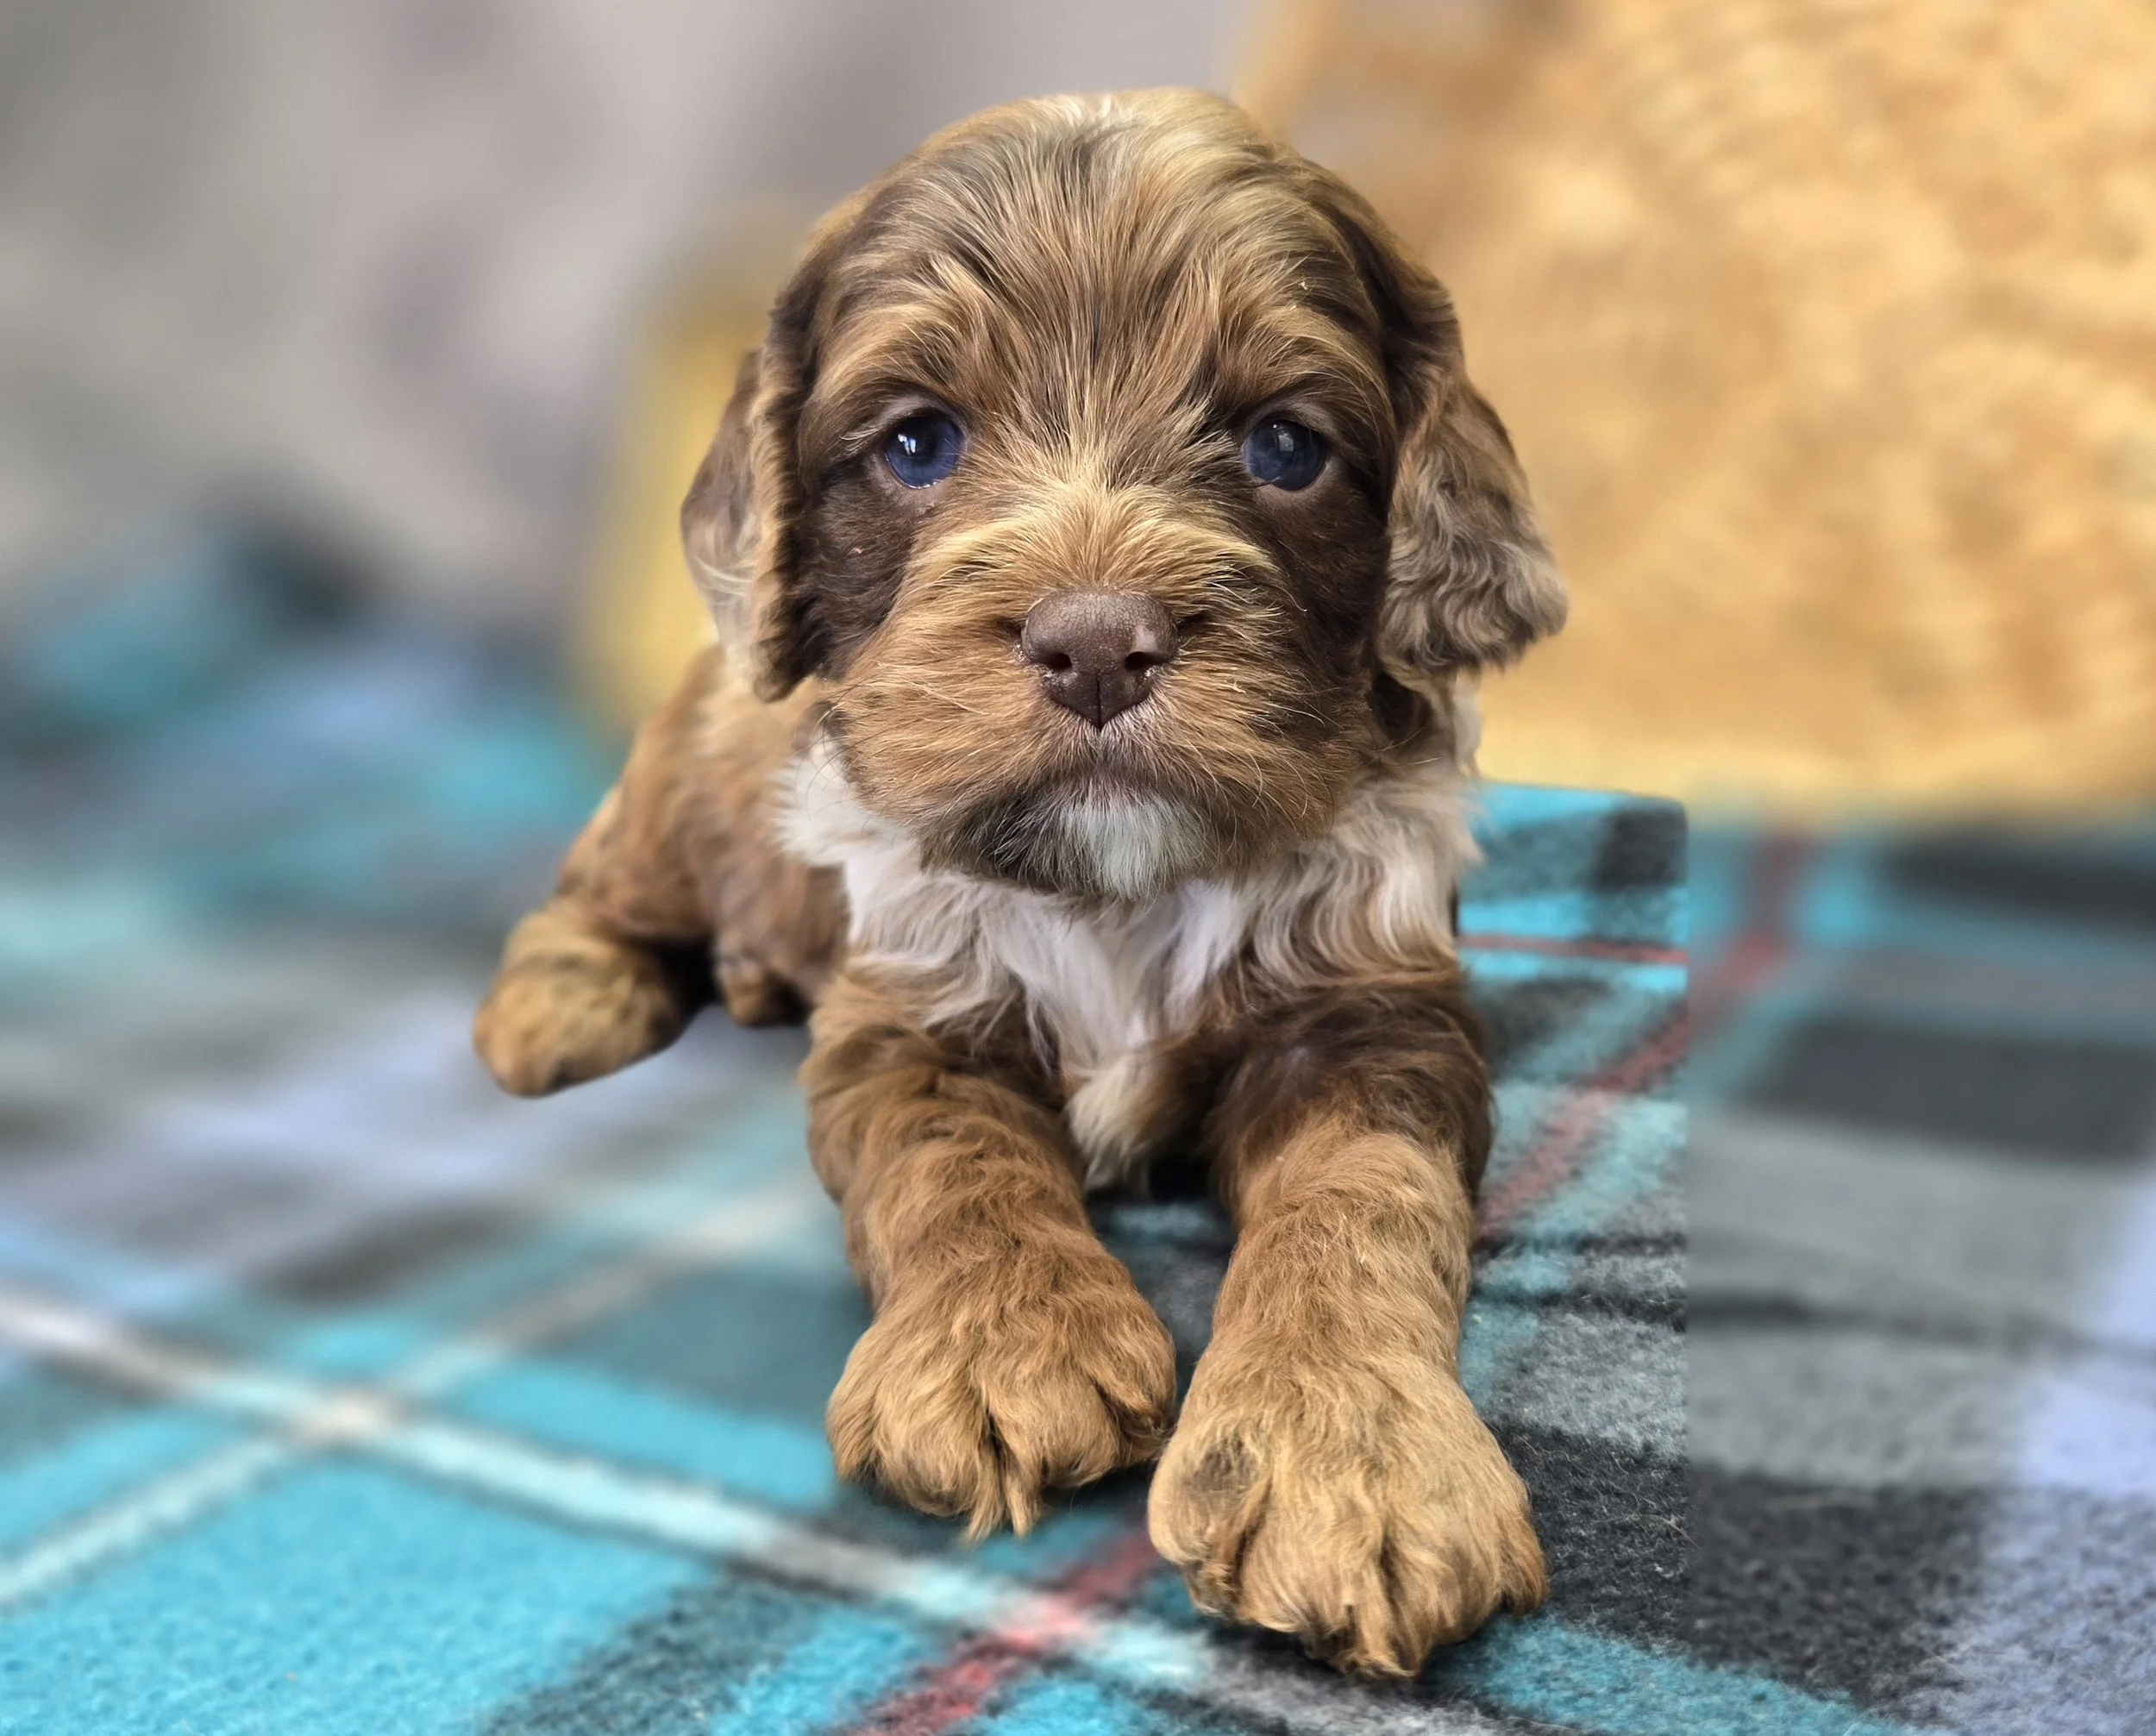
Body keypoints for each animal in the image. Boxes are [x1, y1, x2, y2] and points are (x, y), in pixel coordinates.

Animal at [474, 89, 1566, 1678]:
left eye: (1285, 446)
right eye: (919, 442)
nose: (1097, 642)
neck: (1117, 890)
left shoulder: (1370, 1008)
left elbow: (1362, 1197)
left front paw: (1350, 1454)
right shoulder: (908, 1009)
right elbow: (952, 1157)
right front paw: (1001, 1350)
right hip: (683, 781)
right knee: (599, 887)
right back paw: (558, 1008)